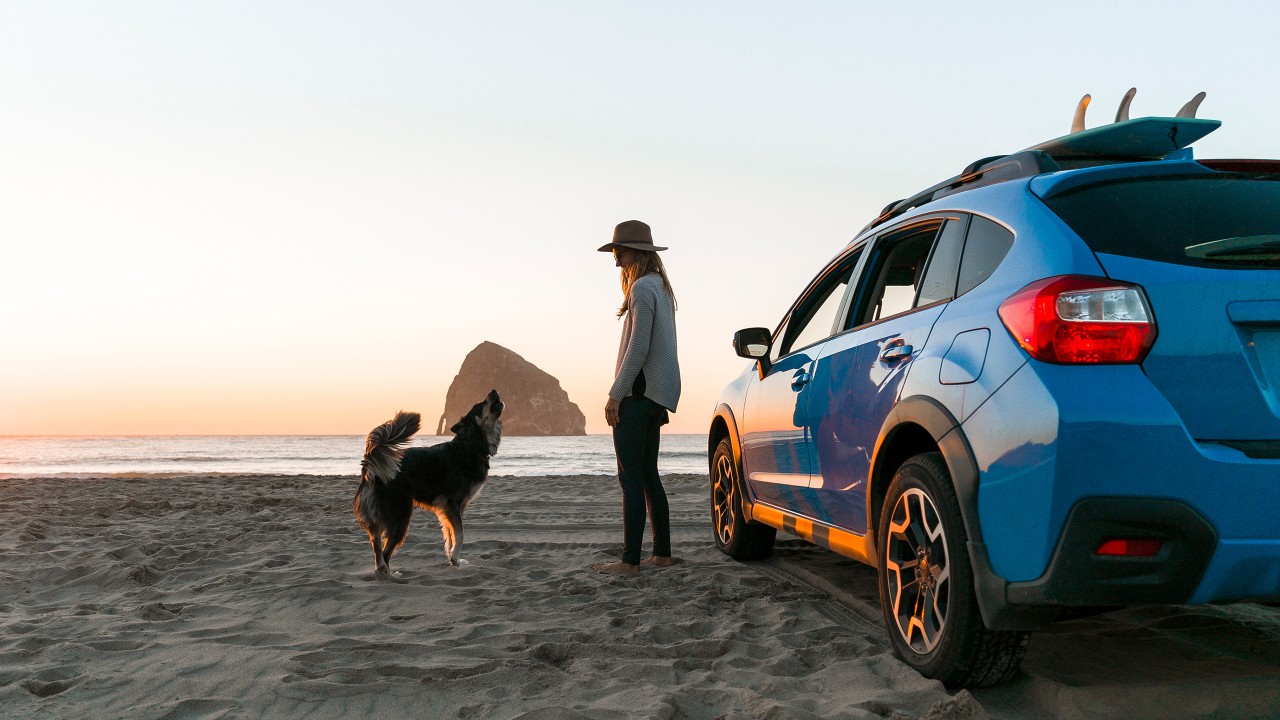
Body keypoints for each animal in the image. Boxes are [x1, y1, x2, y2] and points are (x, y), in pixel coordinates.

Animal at [358, 386, 506, 576]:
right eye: (479, 405)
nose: (493, 390)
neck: (470, 446)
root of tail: (371, 469)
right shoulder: (452, 503)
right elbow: (460, 534)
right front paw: (454, 557)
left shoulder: (452, 508)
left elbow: (450, 534)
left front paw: (453, 559)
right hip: (400, 514)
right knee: (385, 551)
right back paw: (389, 574)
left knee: (376, 544)